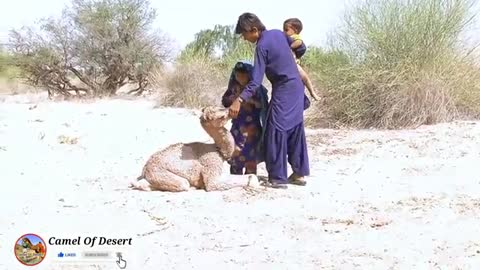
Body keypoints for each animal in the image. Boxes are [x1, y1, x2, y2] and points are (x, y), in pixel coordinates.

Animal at [130, 106, 258, 192]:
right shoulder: (211, 168)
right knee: (183, 183)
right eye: (218, 112)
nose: (230, 110)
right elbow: (213, 184)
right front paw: (254, 183)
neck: (217, 150)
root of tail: (145, 169)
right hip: (161, 174)